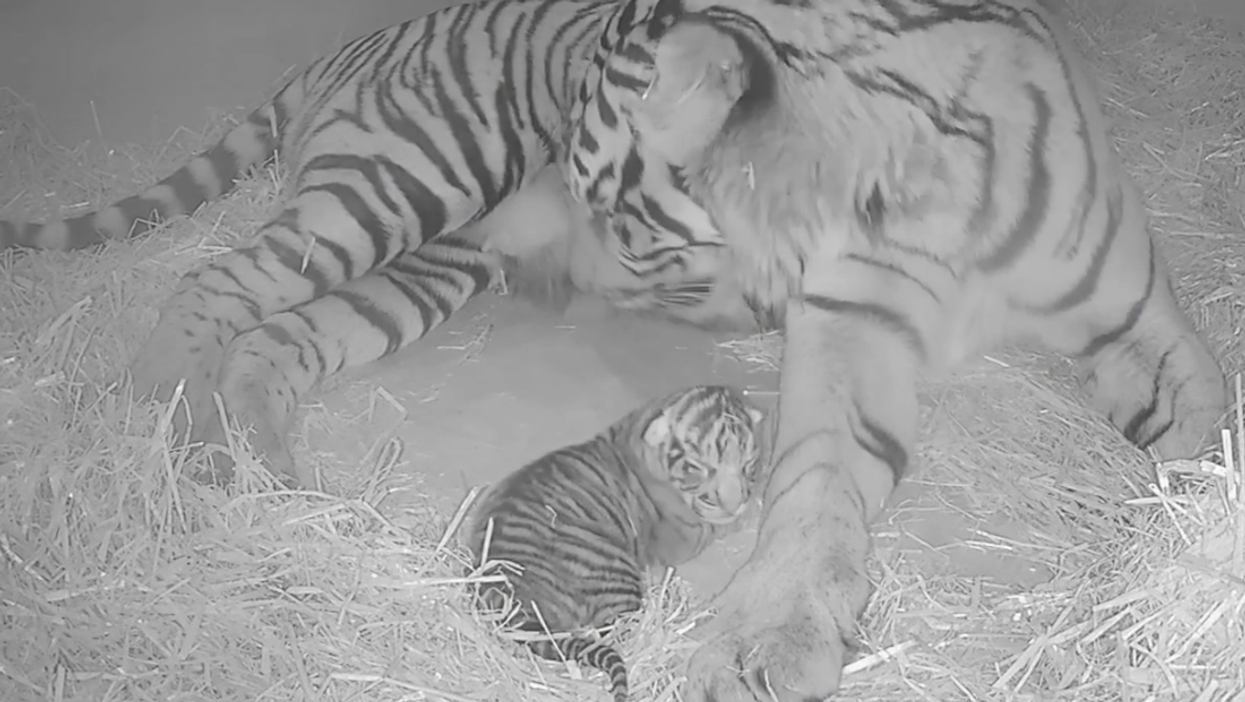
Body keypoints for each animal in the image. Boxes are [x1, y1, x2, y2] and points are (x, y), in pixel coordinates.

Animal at [0, 0, 764, 490]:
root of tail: (345, 51)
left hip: (428, 251)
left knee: (273, 340)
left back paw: (269, 473)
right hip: (403, 180)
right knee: (214, 284)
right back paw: (167, 420)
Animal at [465, 384, 765, 702]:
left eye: (749, 464)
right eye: (699, 466)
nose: (735, 503)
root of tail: (513, 600)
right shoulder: (691, 532)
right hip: (616, 577)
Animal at [560, 0, 1229, 699]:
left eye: (612, 213)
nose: (567, 279)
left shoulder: (1140, 321)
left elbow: (1194, 443)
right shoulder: (852, 326)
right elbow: (813, 481)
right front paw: (765, 635)